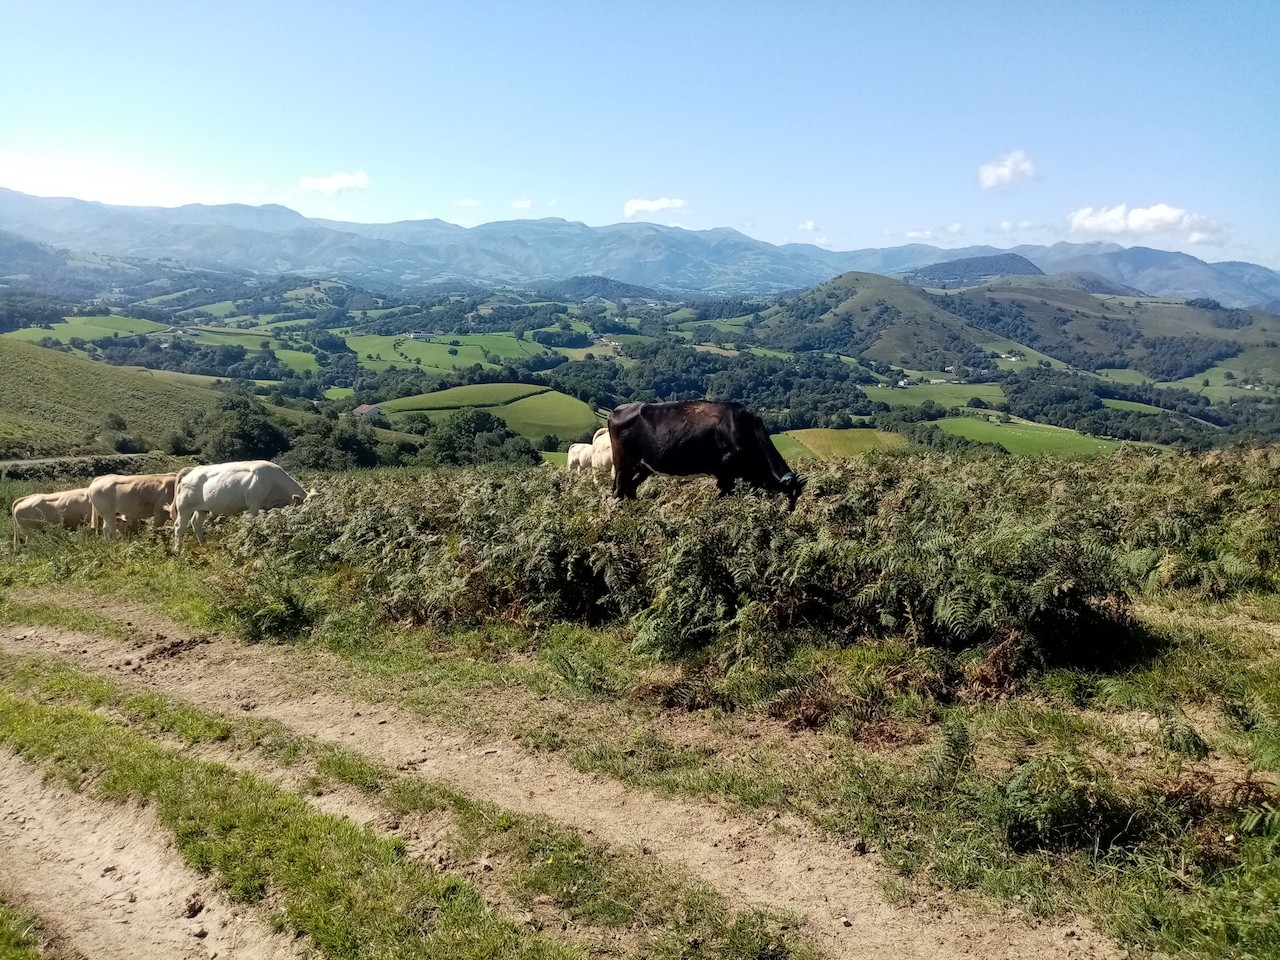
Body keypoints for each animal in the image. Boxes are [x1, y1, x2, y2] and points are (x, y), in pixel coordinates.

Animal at [172, 460, 309, 547]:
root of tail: (193, 470)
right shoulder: (254, 505)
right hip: (184, 508)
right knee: (179, 527)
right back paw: (178, 550)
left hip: (201, 509)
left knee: (196, 524)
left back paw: (203, 545)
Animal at [606, 399, 803, 512]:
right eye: (788, 497)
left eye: (796, 498)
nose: (787, 514)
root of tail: (617, 410)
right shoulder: (726, 475)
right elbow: (721, 499)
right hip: (623, 463)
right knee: (618, 491)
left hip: (643, 466)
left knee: (630, 488)